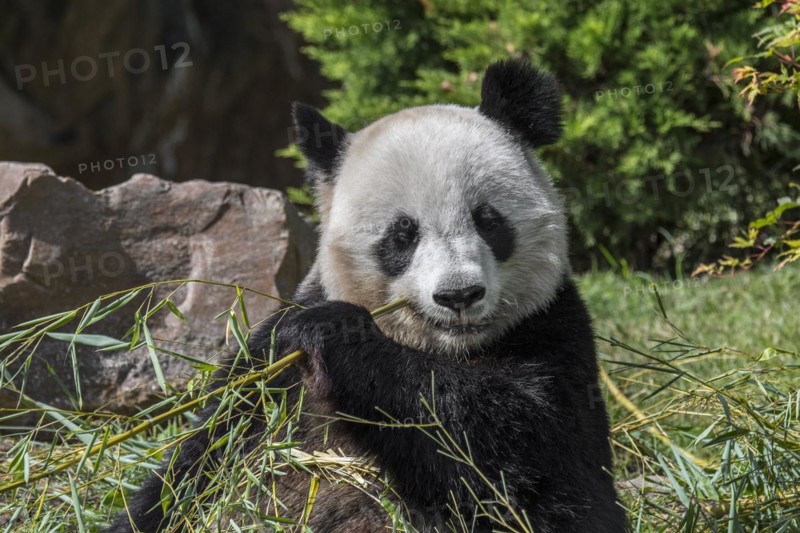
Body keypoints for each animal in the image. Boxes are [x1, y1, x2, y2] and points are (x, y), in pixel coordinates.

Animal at [109, 59, 626, 532]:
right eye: (402, 235)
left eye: (488, 220)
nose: (459, 295)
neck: (449, 349)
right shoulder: (269, 369)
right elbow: (198, 465)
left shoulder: (554, 336)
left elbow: (530, 458)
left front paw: (337, 334)